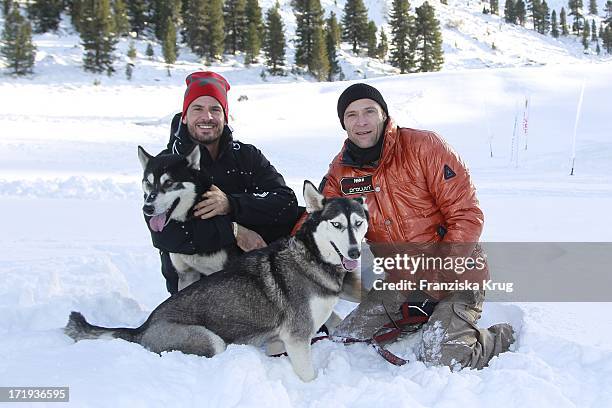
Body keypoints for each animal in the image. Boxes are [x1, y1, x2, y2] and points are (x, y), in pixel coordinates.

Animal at [65, 182, 368, 382]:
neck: (313, 258)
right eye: (337, 225)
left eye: (358, 223)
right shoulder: (297, 337)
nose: (355, 252)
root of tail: (143, 328)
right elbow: (308, 375)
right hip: (210, 341)